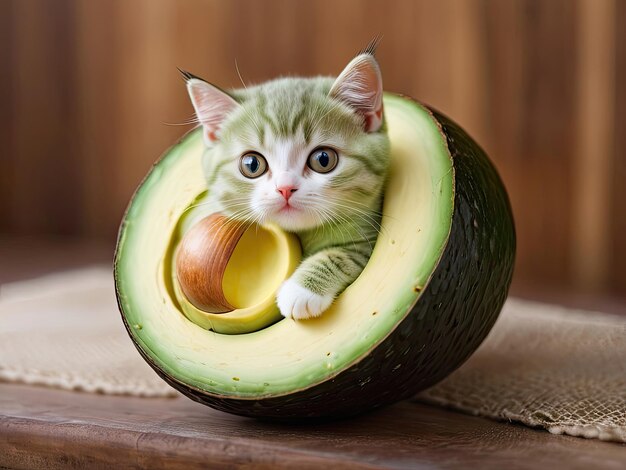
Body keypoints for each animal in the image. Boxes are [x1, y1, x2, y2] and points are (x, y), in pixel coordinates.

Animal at [180, 47, 388, 320]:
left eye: (323, 159)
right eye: (252, 165)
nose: (285, 188)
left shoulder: (368, 236)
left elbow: (345, 254)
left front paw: (301, 291)